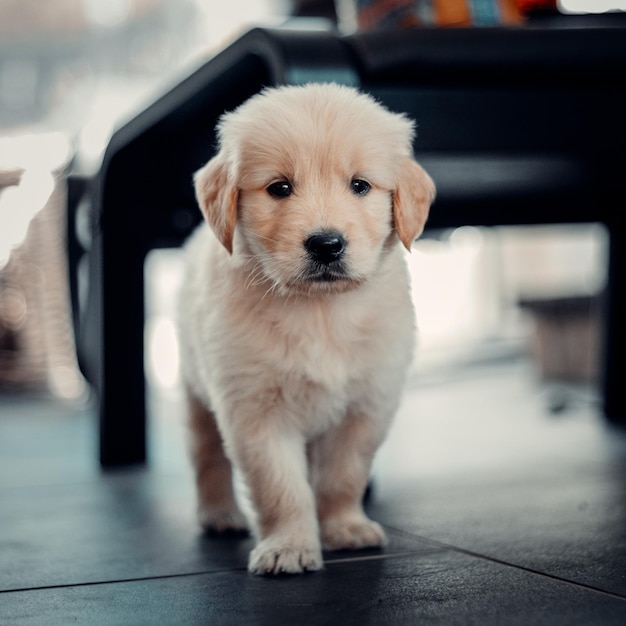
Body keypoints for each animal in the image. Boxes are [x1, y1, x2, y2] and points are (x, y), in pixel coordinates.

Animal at [178, 83, 434, 576]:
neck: (320, 309)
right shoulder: (254, 410)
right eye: (279, 188)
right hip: (195, 390)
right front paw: (288, 547)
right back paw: (219, 514)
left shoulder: (365, 405)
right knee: (207, 458)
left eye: (360, 185)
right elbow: (280, 486)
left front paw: (344, 529)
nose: (326, 244)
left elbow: (342, 477)